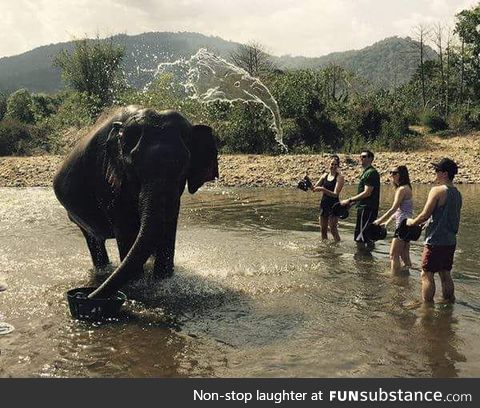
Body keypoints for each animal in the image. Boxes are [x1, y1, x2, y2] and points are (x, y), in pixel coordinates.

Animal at [53, 103, 218, 298]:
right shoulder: (107, 179)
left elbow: (168, 225)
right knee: (94, 241)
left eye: (184, 166)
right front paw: (137, 283)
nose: (87, 296)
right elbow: (126, 227)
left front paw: (163, 281)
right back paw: (103, 271)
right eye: (133, 167)